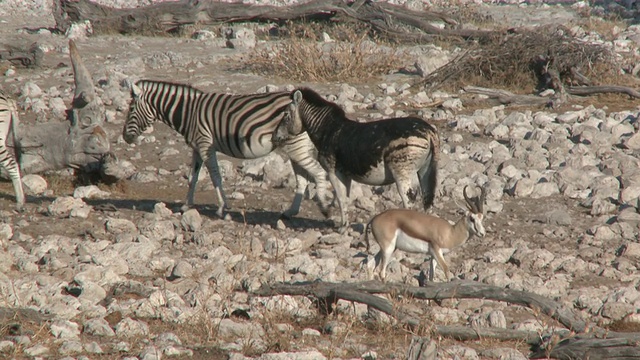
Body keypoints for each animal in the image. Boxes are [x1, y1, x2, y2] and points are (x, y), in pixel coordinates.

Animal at [122, 80, 330, 218]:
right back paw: (291, 211)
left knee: (318, 172)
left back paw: (324, 206)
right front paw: (186, 206)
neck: (189, 112)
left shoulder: (205, 145)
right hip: (296, 147)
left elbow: (215, 175)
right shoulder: (197, 147)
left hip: (295, 146)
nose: (124, 137)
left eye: (131, 109)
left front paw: (222, 208)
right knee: (302, 179)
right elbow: (192, 177)